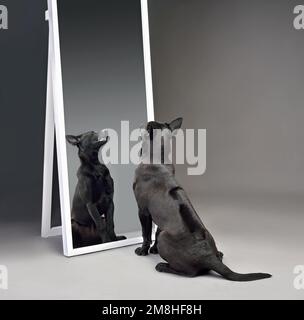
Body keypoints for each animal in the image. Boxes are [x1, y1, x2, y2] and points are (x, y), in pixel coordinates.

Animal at [133, 119, 270, 282]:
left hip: (164, 237)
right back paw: (220, 254)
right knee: (214, 261)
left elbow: (146, 234)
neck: (159, 158)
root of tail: (208, 256)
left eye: (148, 126)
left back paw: (162, 266)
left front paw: (143, 251)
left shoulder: (143, 211)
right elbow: (155, 230)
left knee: (190, 273)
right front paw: (153, 250)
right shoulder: (157, 216)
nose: (144, 124)